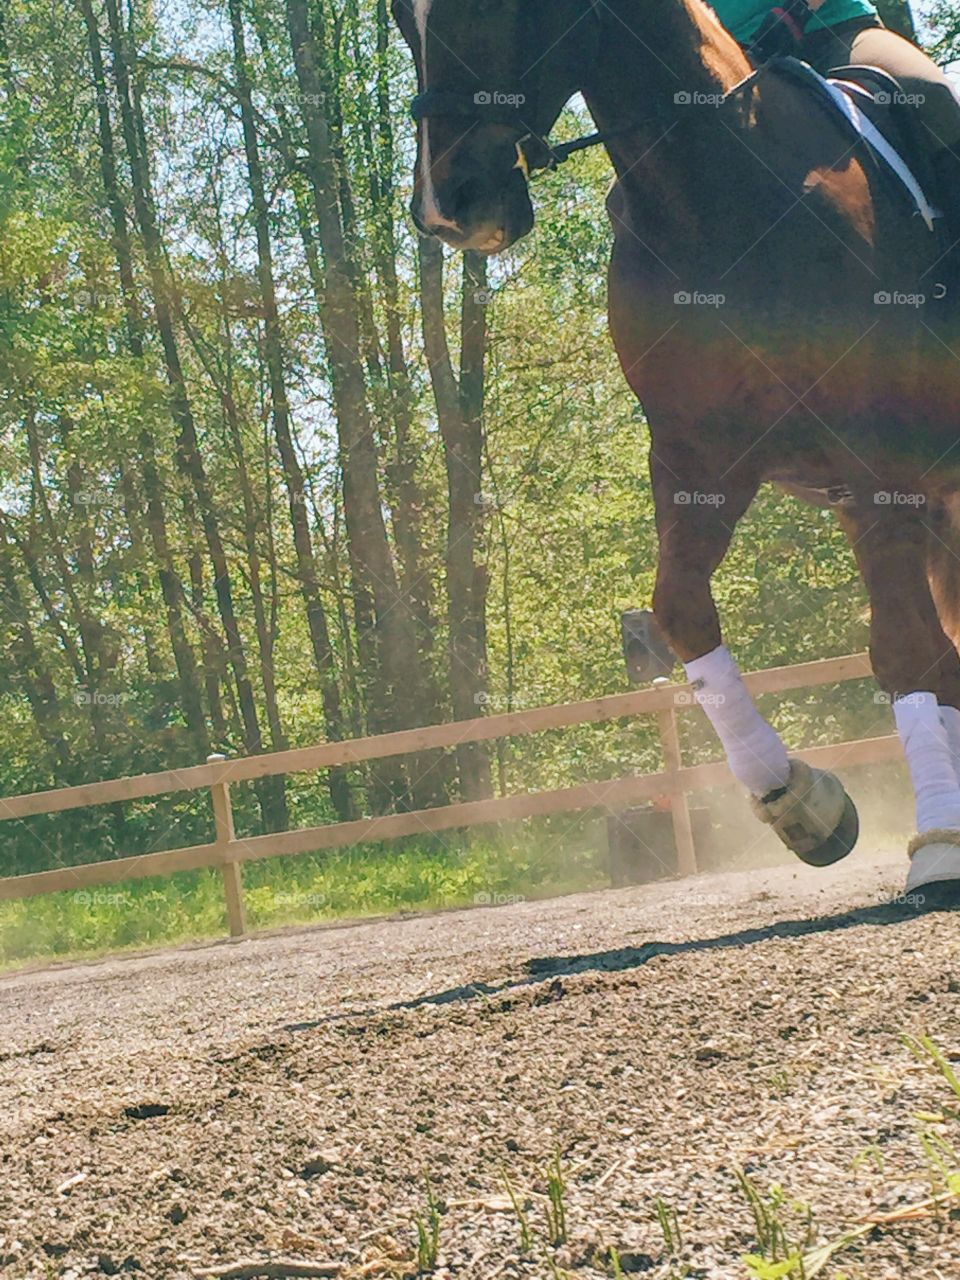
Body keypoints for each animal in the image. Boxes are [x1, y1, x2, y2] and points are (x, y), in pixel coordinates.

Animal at [392, 0, 960, 900]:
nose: (450, 206)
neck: (716, 195)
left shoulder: (872, 458)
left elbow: (905, 646)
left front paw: (935, 842)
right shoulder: (696, 460)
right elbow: (681, 613)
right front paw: (800, 800)